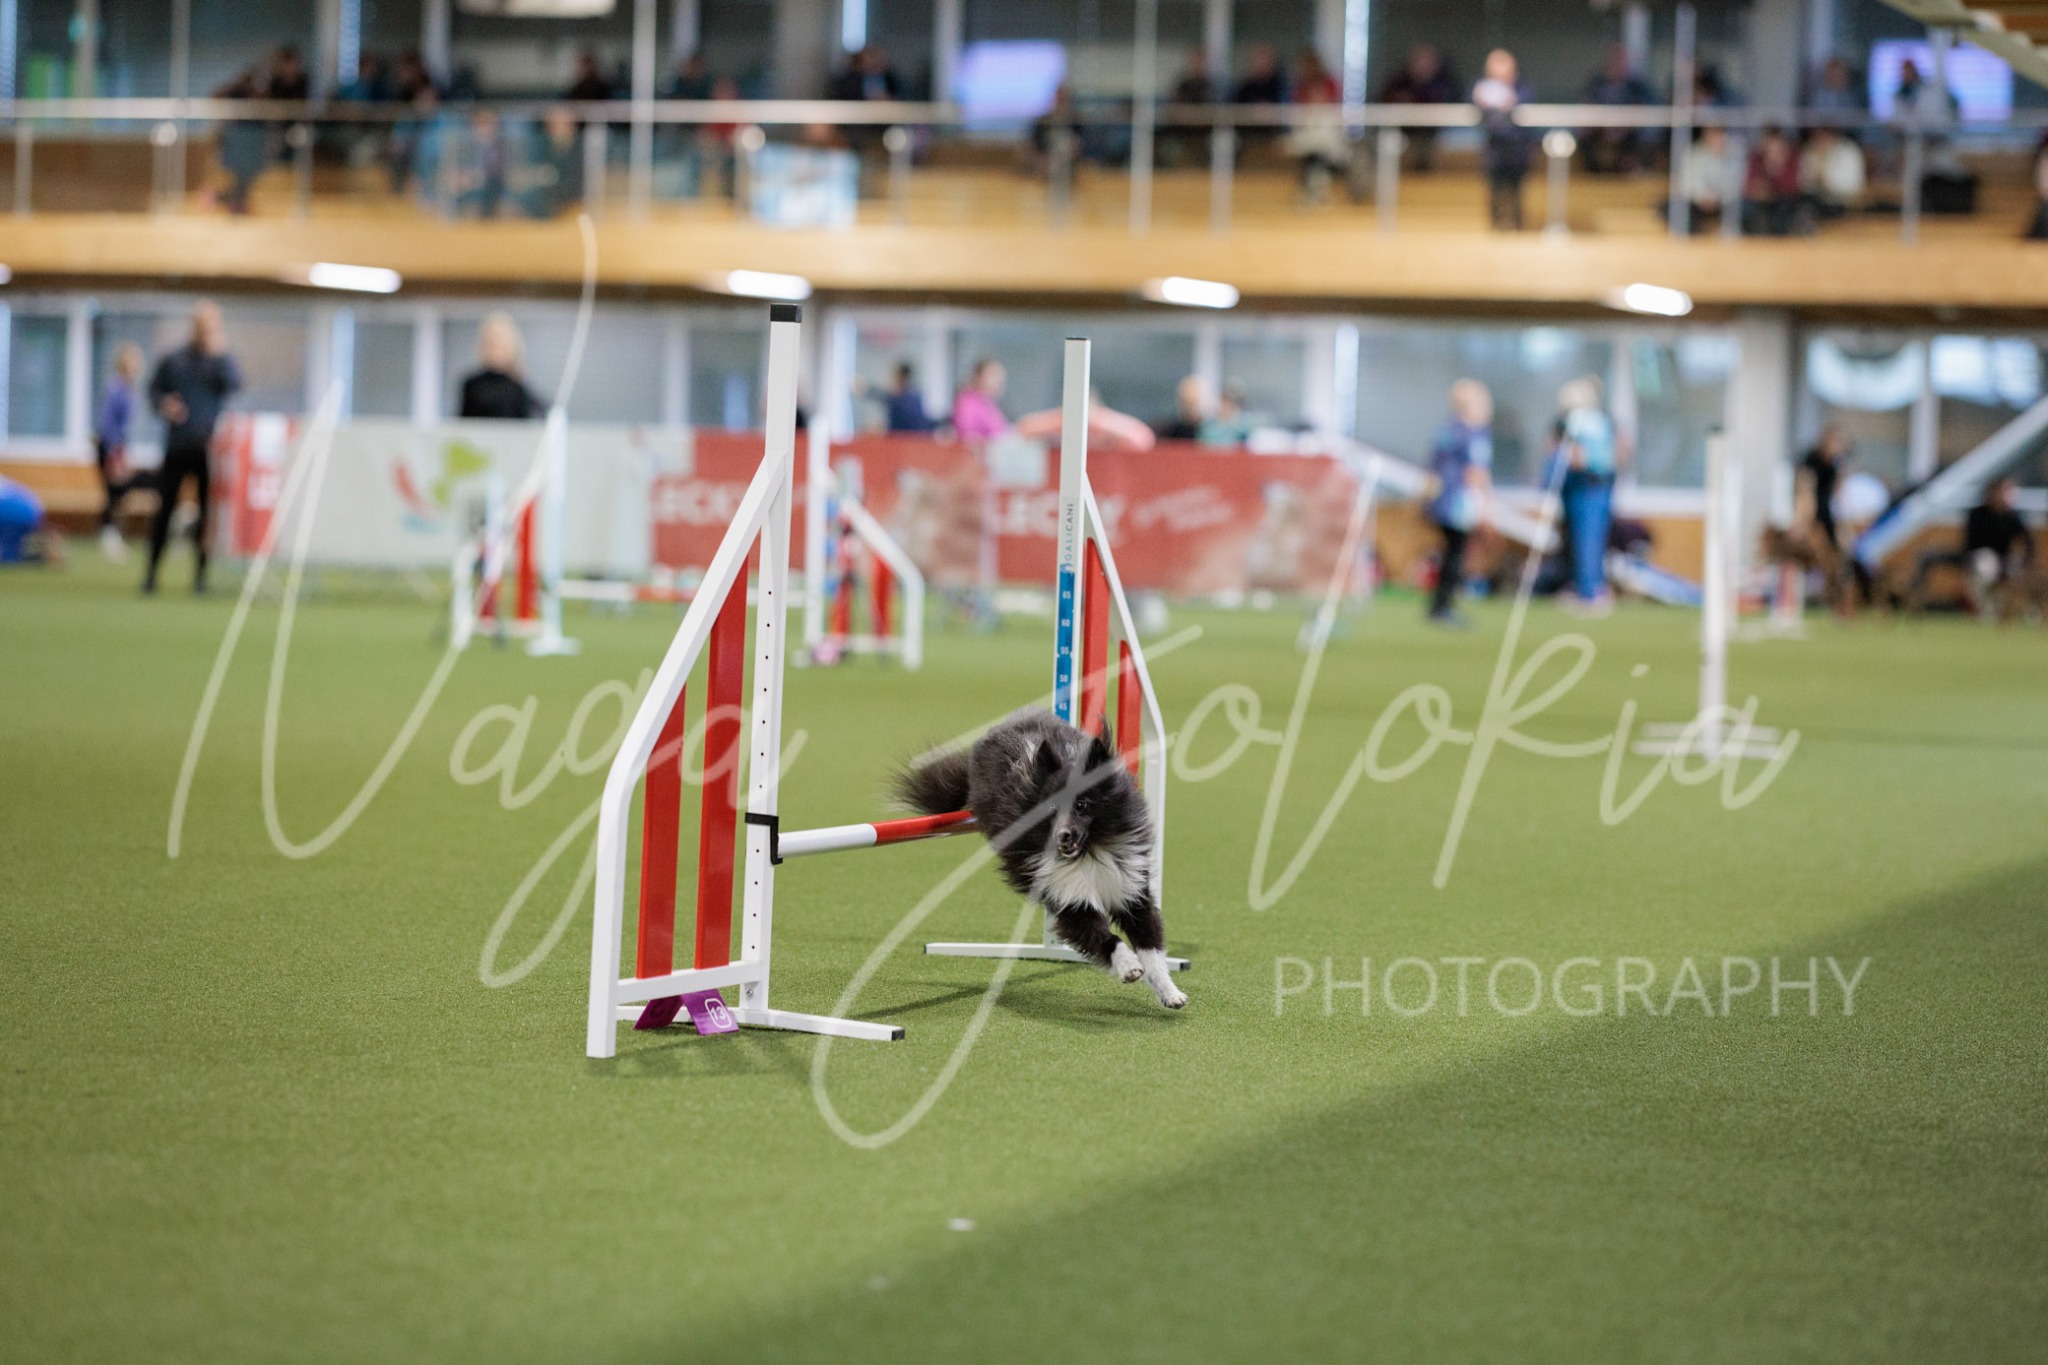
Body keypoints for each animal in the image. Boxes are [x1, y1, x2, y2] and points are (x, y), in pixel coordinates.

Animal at [895, 707, 1186, 1010]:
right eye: (1051, 809)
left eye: (1081, 805)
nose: (1062, 837)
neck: (1090, 851)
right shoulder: (1071, 900)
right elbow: (1106, 937)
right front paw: (1129, 967)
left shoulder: (1130, 889)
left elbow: (1151, 948)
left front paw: (1171, 993)